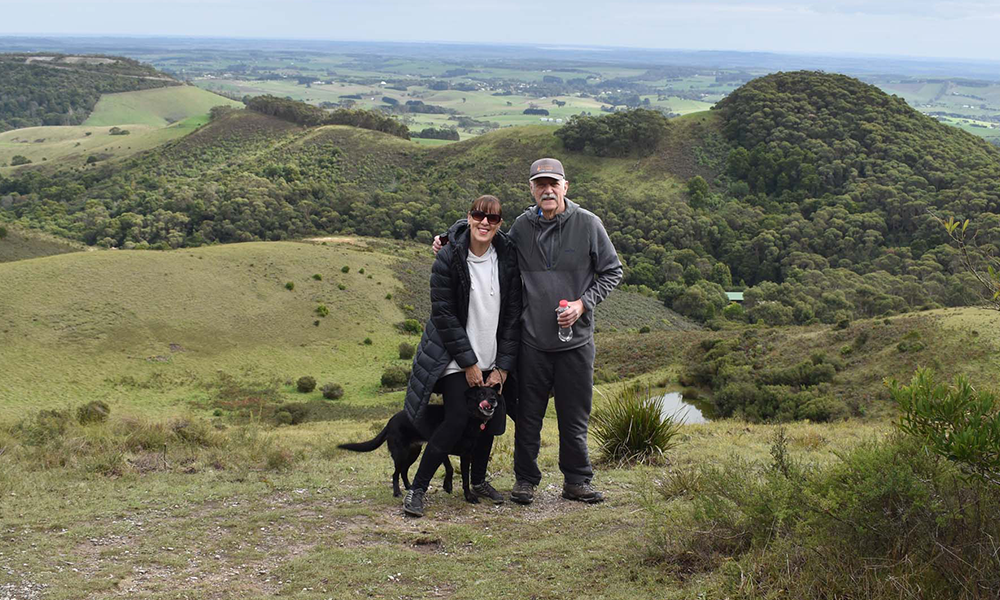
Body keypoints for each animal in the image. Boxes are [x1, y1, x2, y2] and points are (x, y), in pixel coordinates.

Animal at [340, 384, 500, 502]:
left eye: (494, 393)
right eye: (481, 394)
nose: (493, 399)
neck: (470, 416)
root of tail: (390, 421)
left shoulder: (465, 455)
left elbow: (465, 478)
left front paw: (467, 496)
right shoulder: (440, 447)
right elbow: (450, 468)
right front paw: (449, 486)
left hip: (413, 452)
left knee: (404, 471)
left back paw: (409, 486)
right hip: (401, 454)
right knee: (395, 473)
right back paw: (397, 492)